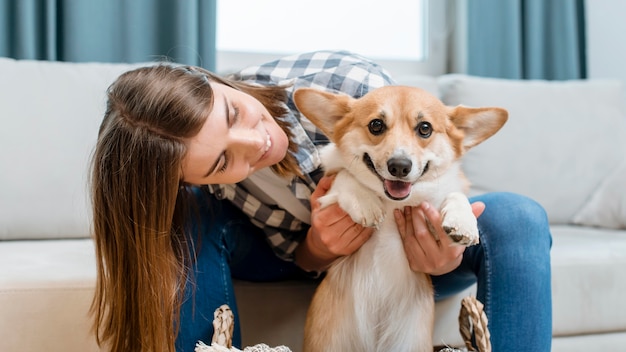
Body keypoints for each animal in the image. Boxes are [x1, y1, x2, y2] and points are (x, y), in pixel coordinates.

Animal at [294, 86, 508, 352]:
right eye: (376, 125)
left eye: (425, 128)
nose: (399, 166)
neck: (394, 202)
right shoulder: (327, 193)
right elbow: (345, 175)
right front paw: (366, 202)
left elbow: (455, 194)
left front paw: (463, 222)